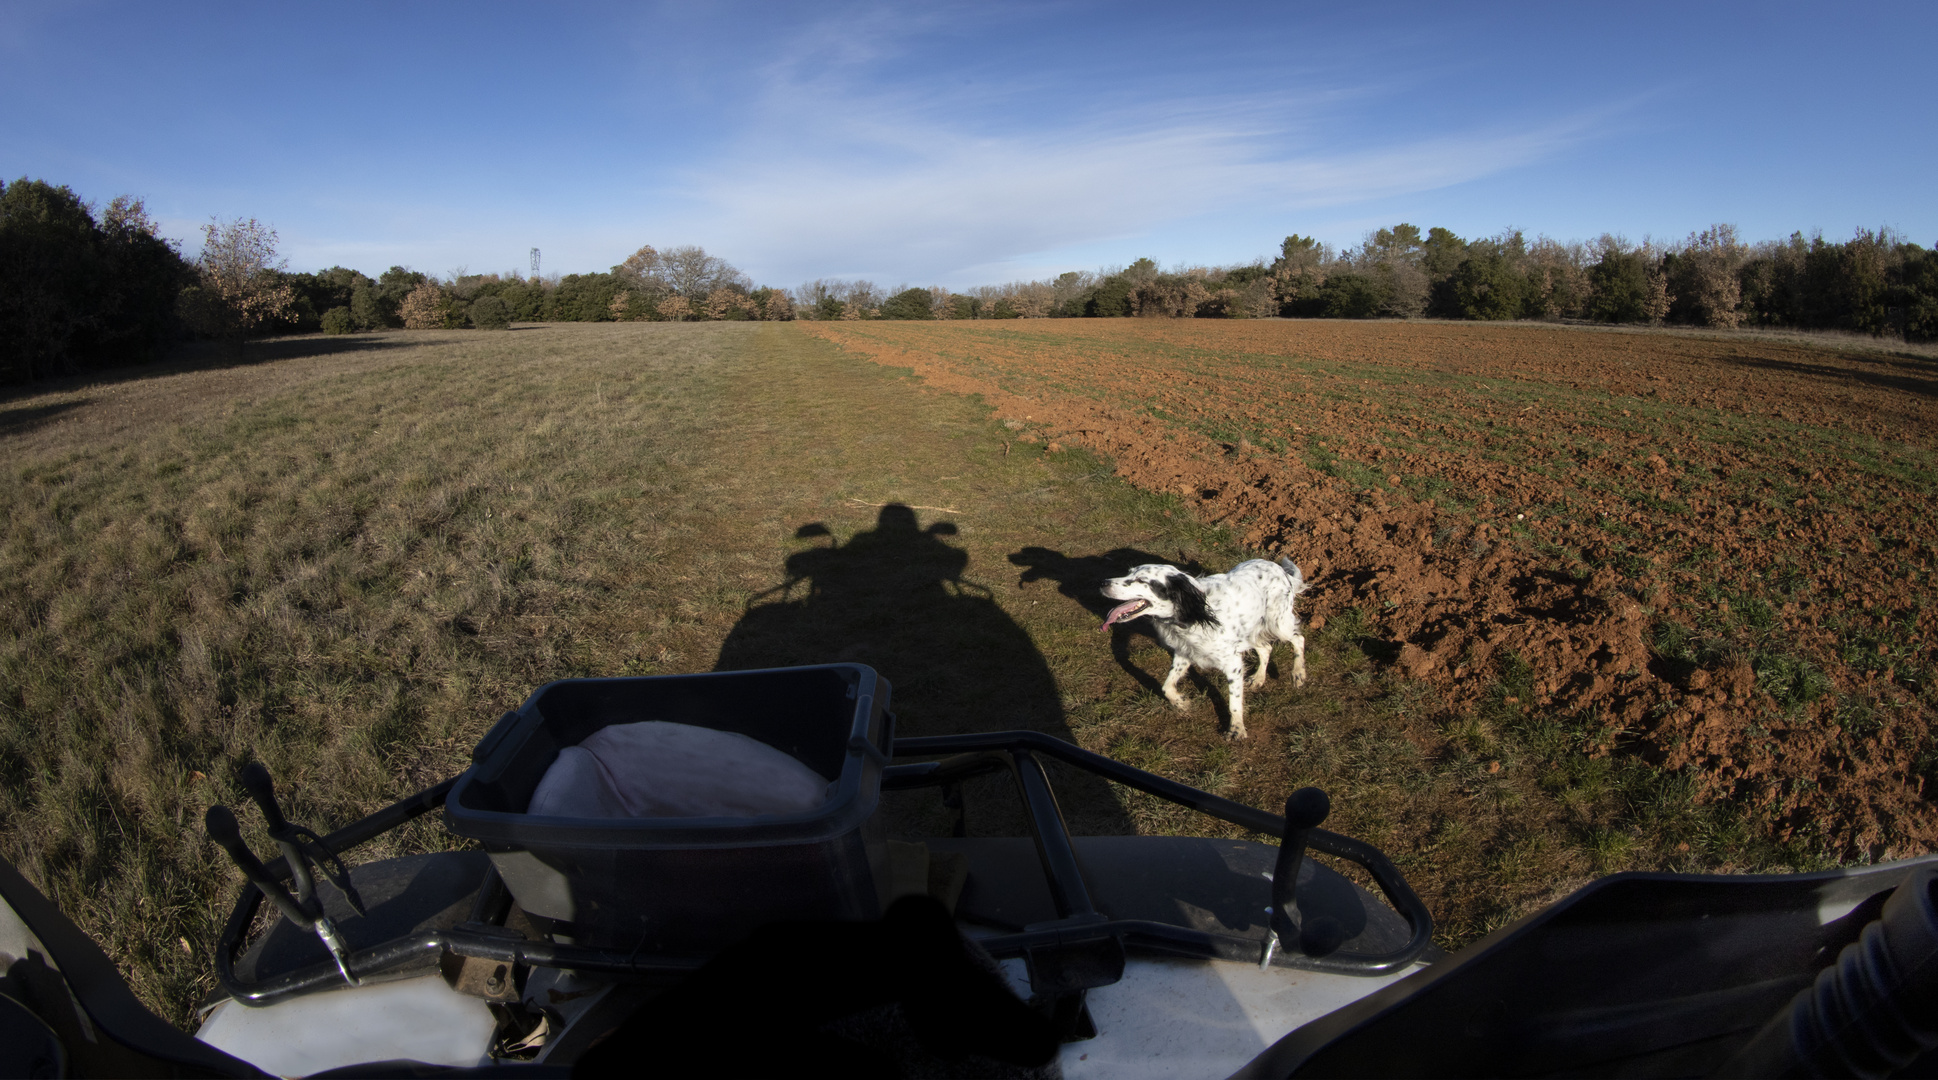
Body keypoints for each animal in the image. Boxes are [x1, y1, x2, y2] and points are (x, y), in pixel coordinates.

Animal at [1100, 554, 1310, 740]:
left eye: (1141, 580)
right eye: (1128, 573)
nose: (1103, 583)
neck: (1195, 614)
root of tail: (1280, 570)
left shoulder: (1233, 664)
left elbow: (1234, 703)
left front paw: (1236, 729)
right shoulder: (1184, 653)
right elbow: (1166, 686)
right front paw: (1181, 703)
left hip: (1278, 624)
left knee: (1299, 639)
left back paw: (1298, 674)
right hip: (1253, 632)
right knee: (1266, 648)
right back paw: (1258, 678)